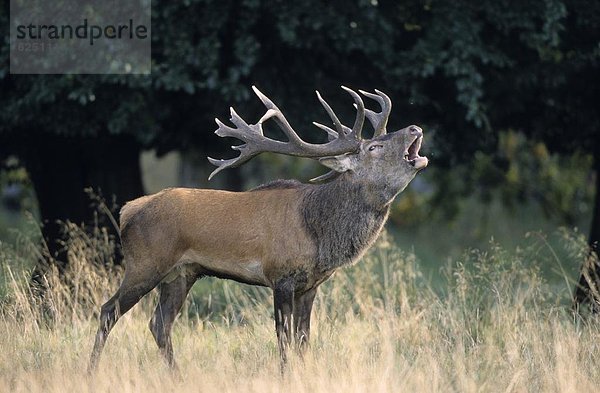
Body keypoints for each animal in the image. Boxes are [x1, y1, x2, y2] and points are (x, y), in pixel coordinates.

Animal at [88, 85, 426, 370]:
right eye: (374, 147)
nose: (415, 127)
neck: (318, 232)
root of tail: (128, 210)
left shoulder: (311, 285)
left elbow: (304, 340)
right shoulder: (281, 275)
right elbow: (284, 340)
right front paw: (286, 375)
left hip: (180, 274)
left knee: (159, 323)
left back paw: (176, 376)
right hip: (145, 263)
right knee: (108, 311)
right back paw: (92, 371)